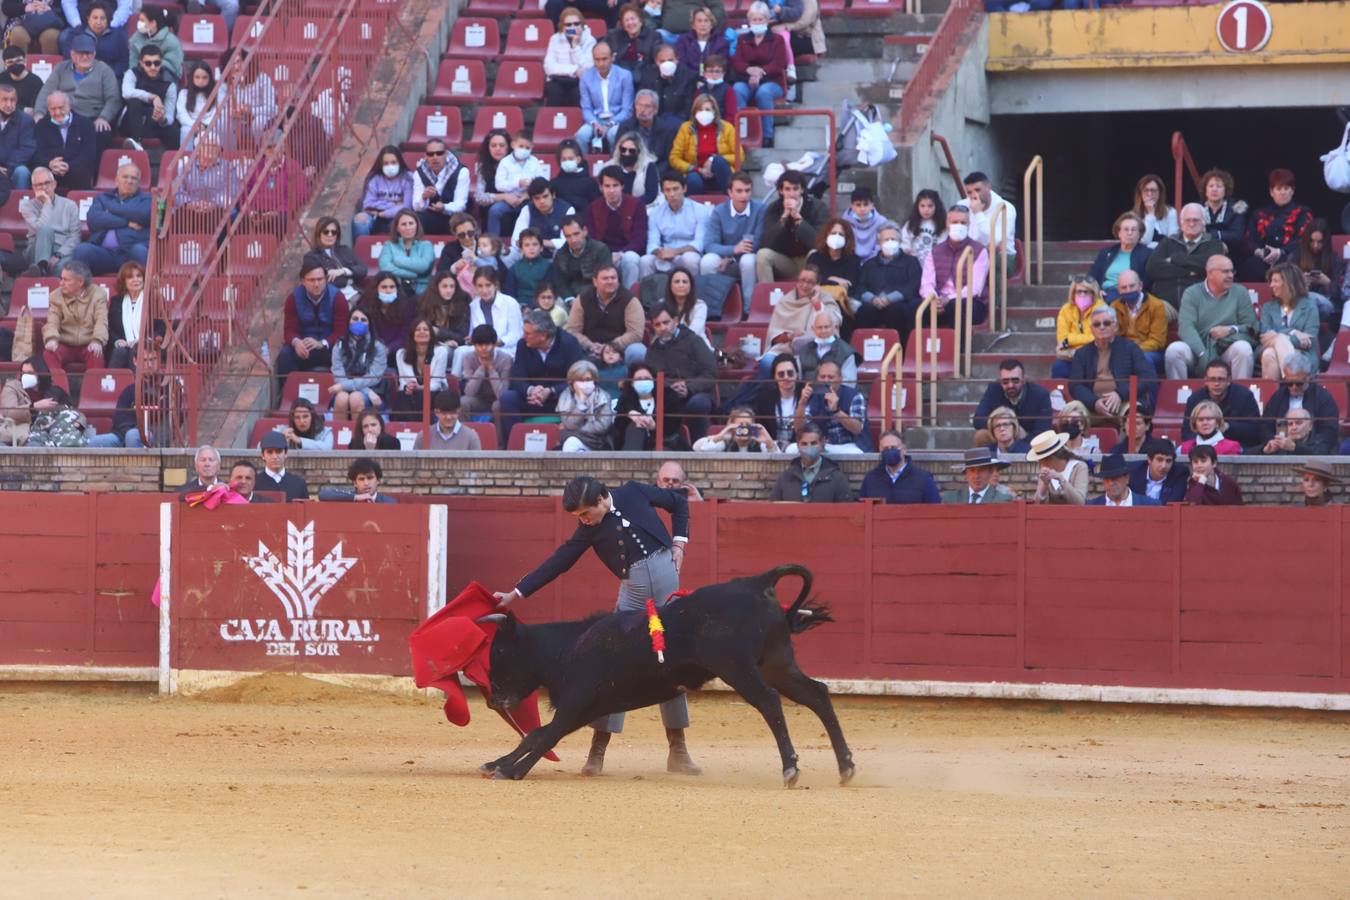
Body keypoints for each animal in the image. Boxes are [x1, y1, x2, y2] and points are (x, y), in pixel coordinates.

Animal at [475, 566, 853, 782]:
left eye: (501, 652)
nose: (492, 700)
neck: (569, 646)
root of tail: (755, 583)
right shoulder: (586, 708)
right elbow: (536, 734)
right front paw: (495, 763)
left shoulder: (575, 702)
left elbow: (546, 734)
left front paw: (512, 770)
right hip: (776, 665)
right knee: (817, 694)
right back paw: (845, 766)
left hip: (738, 668)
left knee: (769, 702)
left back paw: (791, 767)